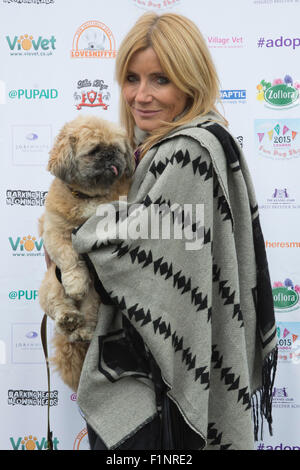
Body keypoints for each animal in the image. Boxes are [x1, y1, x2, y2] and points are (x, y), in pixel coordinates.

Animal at [38, 114, 134, 392]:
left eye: (117, 148)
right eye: (94, 151)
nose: (111, 155)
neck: (89, 196)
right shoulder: (55, 233)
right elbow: (69, 258)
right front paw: (76, 282)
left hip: (95, 302)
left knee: (89, 319)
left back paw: (83, 330)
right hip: (50, 285)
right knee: (60, 307)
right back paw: (69, 318)